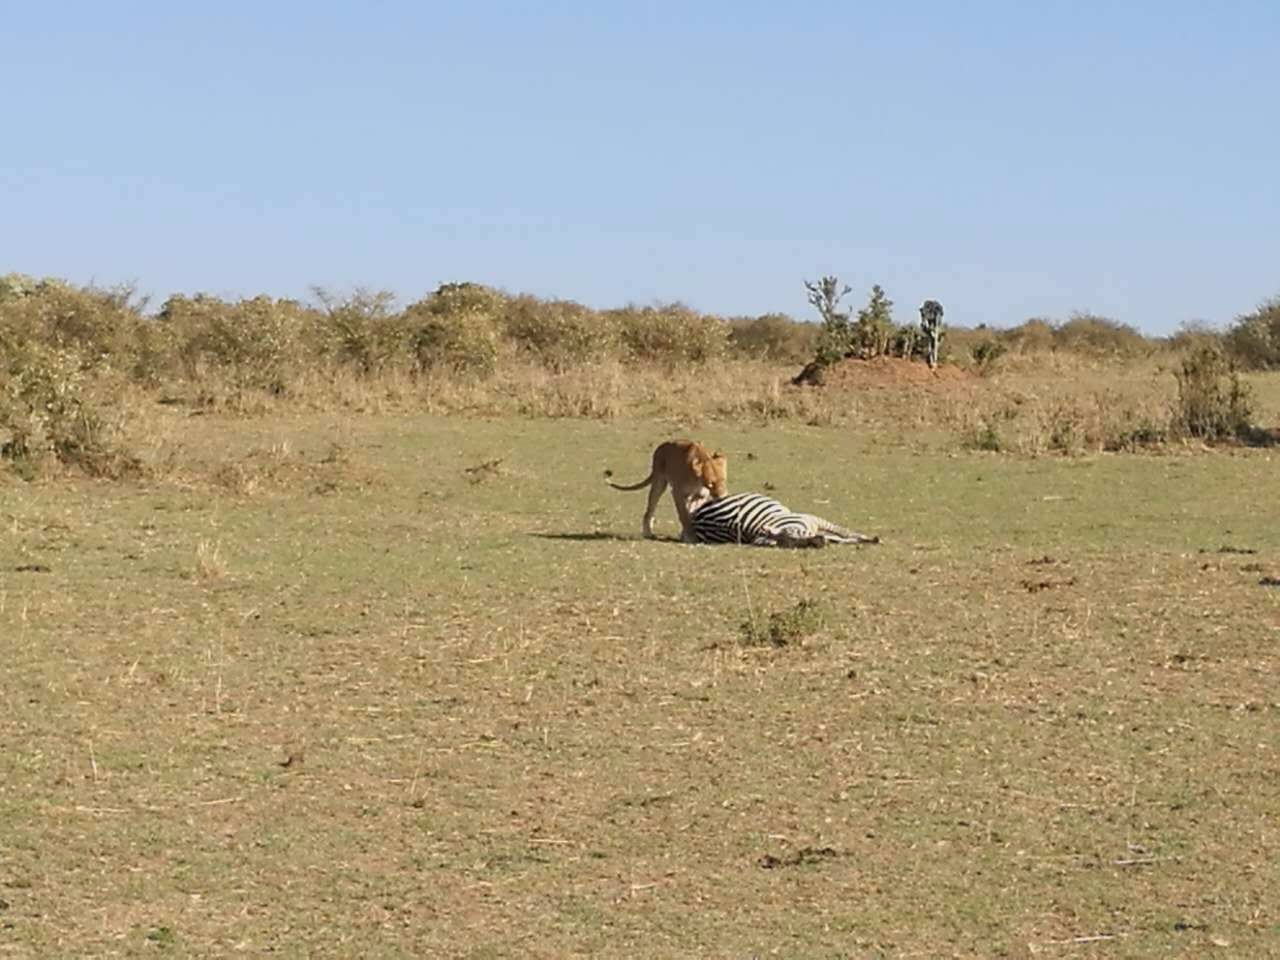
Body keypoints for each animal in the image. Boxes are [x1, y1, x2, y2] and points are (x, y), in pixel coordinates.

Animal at [691, 496, 880, 547]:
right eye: (794, 544)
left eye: (796, 535)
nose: (819, 542)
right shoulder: (813, 520)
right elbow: (841, 534)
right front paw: (870, 539)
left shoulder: (814, 522)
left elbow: (842, 534)